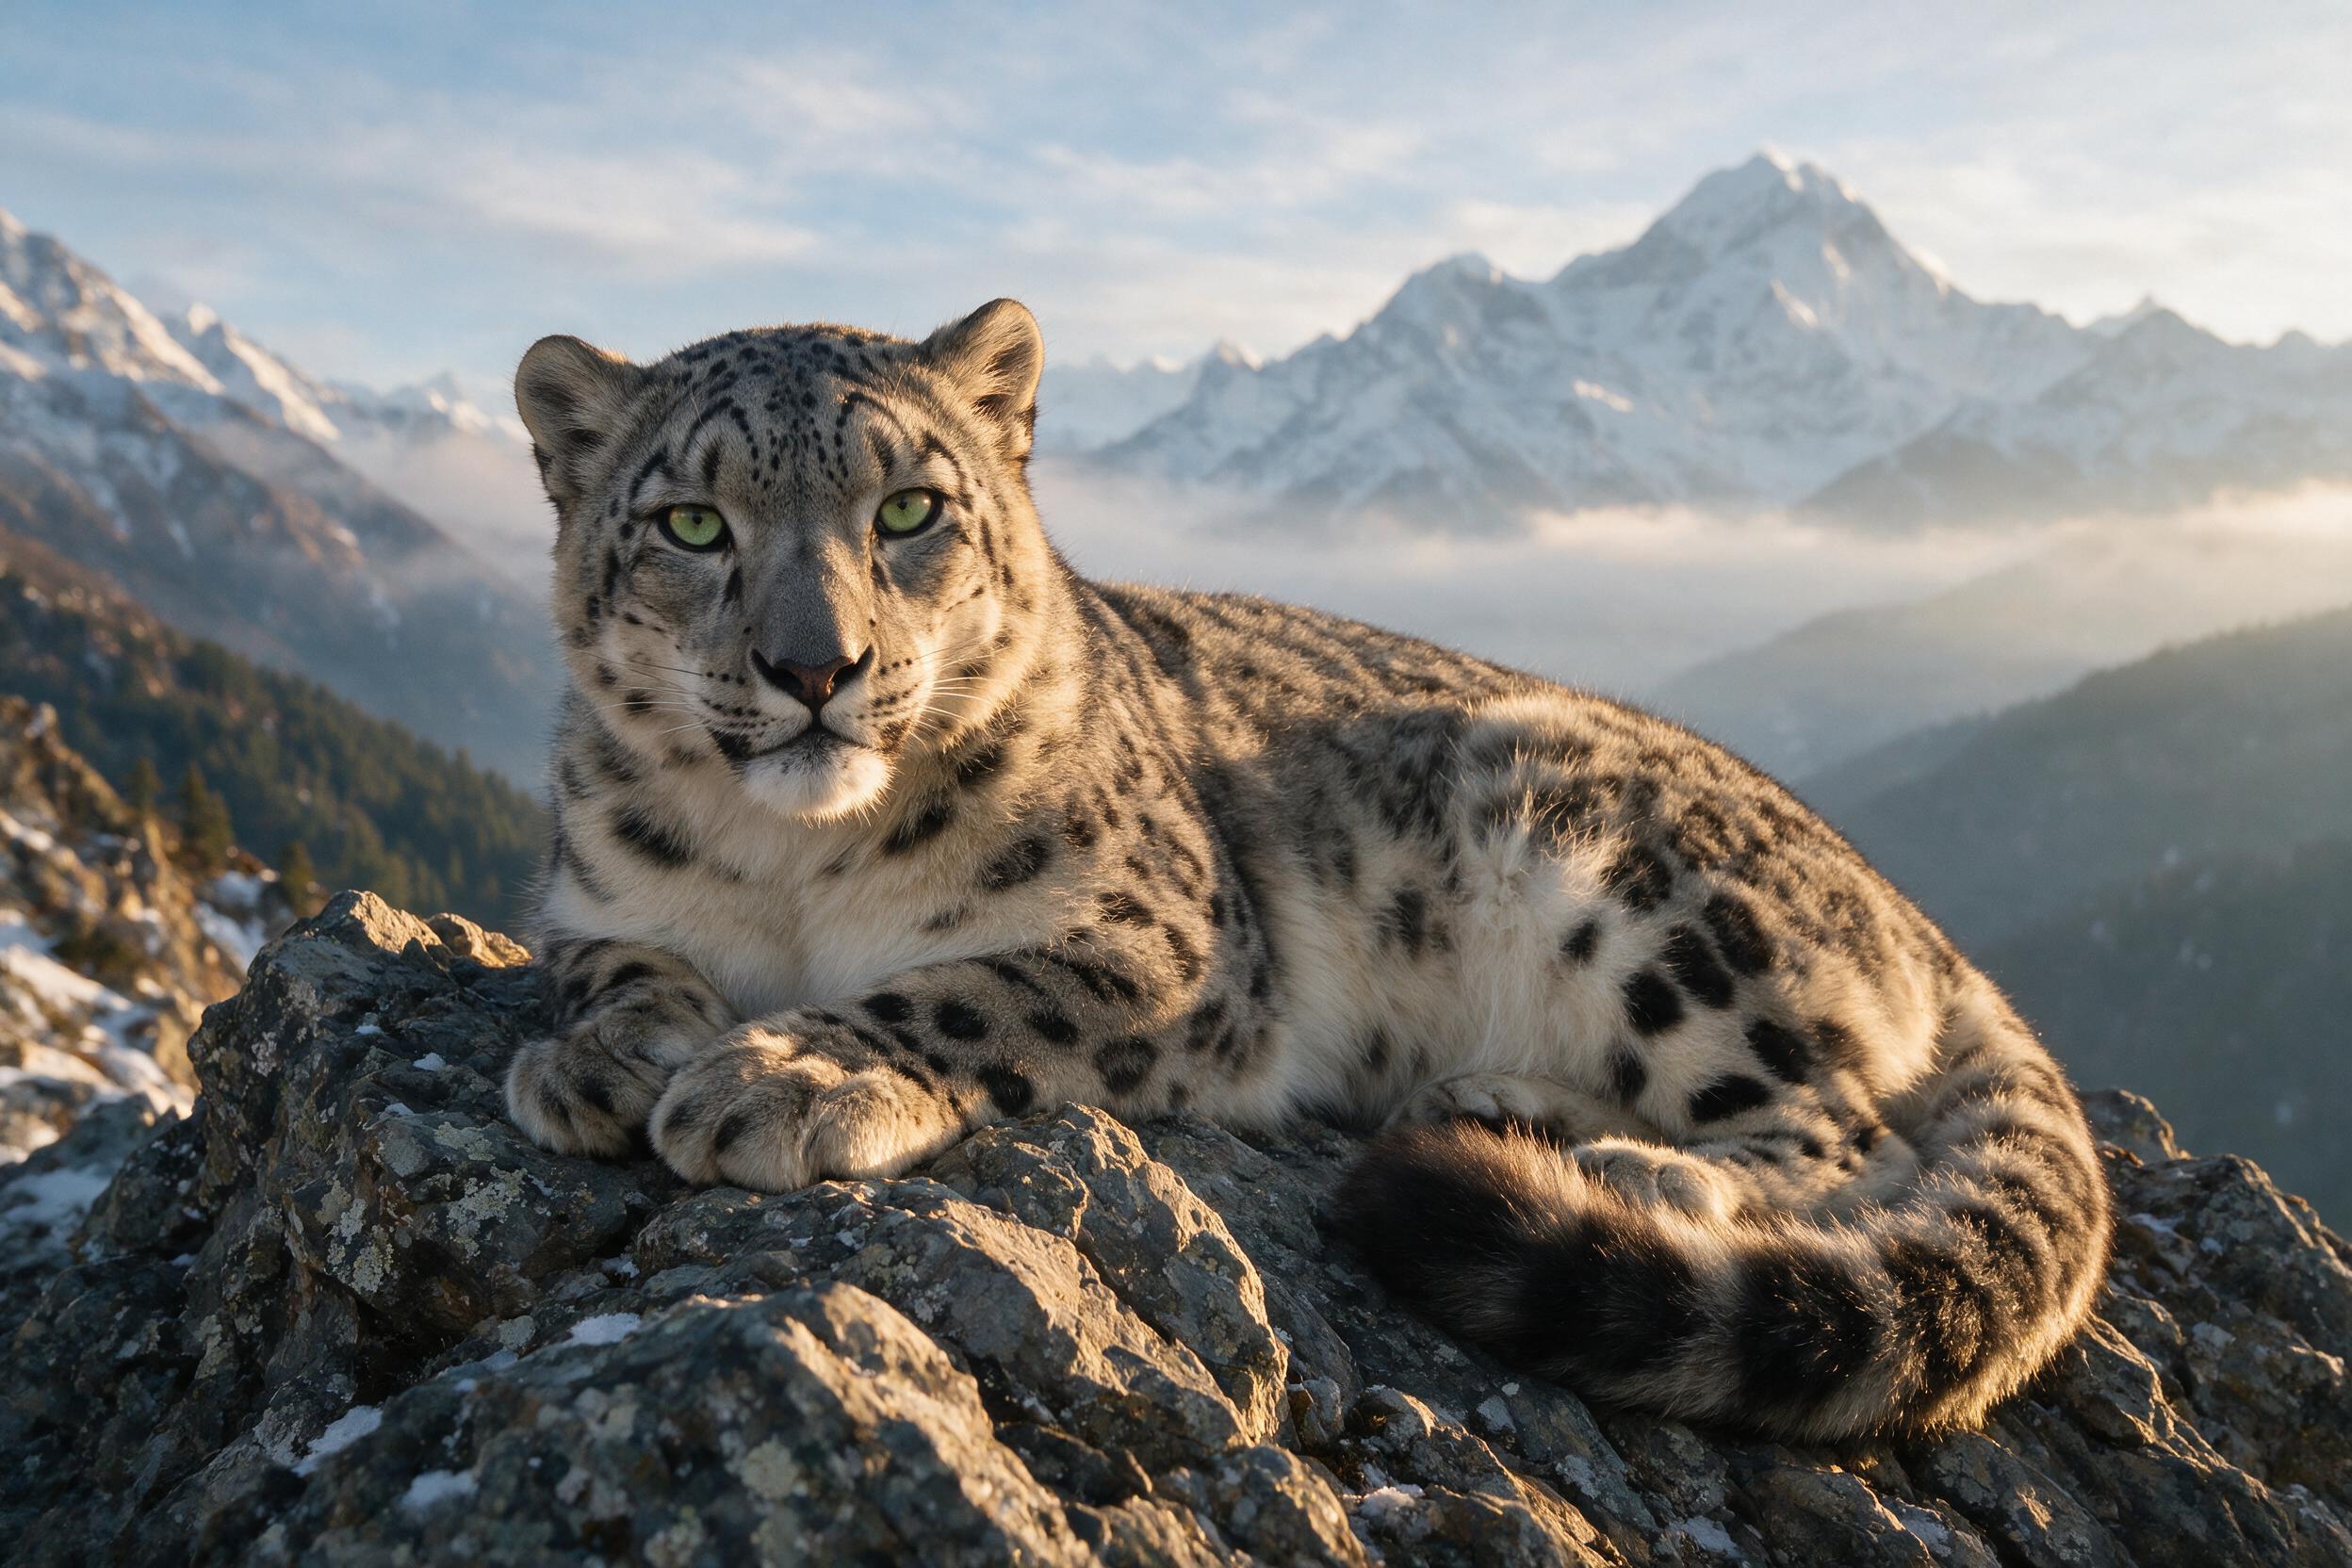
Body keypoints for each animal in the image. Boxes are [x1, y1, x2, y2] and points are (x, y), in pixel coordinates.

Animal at [502, 298, 2111, 1441]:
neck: (792, 866)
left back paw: (1621, 1160)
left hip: (1626, 869)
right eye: (691, 521)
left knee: (1853, 1133)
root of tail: (1917, 920)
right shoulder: (586, 894)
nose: (815, 670)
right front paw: (602, 1056)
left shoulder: (1173, 943)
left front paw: (783, 1074)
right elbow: (606, 960)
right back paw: (1502, 1102)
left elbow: (970, 992)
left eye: (910, 510)